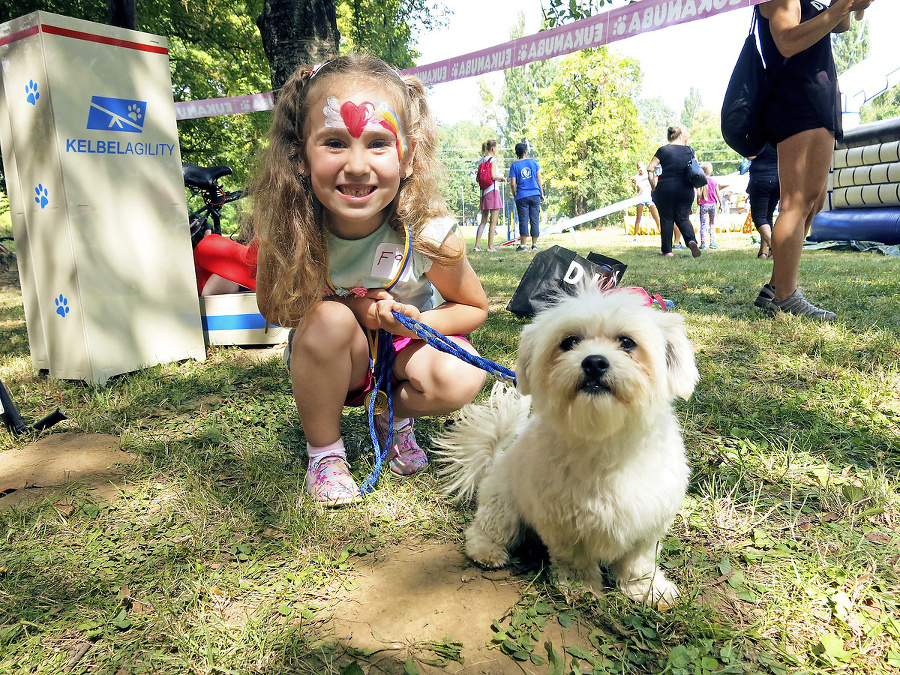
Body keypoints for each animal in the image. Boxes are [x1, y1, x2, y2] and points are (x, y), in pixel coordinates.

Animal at [432, 288, 700, 604]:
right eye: (569, 342)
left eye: (627, 342)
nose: (594, 362)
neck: (603, 439)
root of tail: (497, 461)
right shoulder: (562, 524)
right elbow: (575, 559)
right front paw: (581, 587)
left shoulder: (648, 521)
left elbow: (639, 560)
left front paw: (646, 588)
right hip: (503, 508)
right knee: (485, 530)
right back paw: (488, 550)